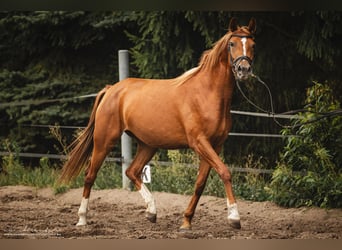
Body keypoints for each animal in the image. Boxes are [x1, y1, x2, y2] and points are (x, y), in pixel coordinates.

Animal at [59, 17, 256, 230]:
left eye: (253, 45)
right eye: (232, 44)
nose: (244, 70)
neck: (206, 94)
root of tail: (111, 89)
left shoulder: (215, 145)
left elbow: (200, 184)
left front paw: (186, 221)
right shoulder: (199, 142)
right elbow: (225, 172)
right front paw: (234, 217)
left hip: (148, 145)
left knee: (132, 171)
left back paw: (151, 211)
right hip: (104, 141)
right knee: (90, 175)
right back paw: (82, 219)